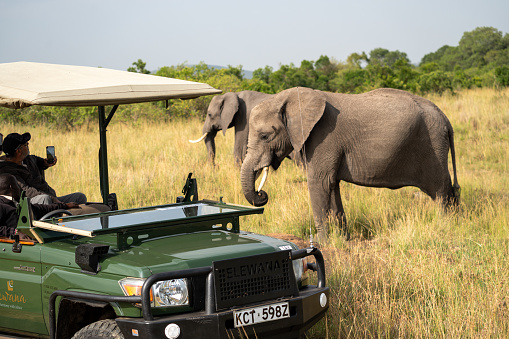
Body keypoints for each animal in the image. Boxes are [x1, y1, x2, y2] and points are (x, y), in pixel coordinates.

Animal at [240, 86, 458, 243]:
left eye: (265, 136)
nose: (261, 194)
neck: (288, 98)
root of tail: (446, 119)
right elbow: (332, 186)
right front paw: (343, 240)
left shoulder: (323, 138)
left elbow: (319, 183)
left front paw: (321, 242)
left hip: (433, 146)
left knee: (440, 189)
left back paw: (445, 226)